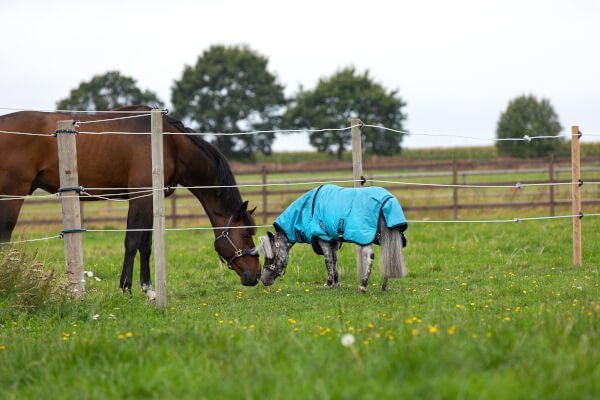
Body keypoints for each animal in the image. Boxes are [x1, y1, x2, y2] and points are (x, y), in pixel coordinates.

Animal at [0, 105, 262, 294]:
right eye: (245, 235)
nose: (257, 275)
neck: (168, 143)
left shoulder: (150, 200)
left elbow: (146, 245)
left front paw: (148, 289)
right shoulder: (139, 199)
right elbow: (132, 242)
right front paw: (126, 288)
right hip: (11, 196)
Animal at [258, 185, 408, 294]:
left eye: (270, 257)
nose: (264, 280)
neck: (308, 209)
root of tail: (388, 201)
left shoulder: (322, 239)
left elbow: (328, 260)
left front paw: (328, 283)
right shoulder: (334, 241)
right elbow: (335, 261)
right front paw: (336, 283)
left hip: (364, 238)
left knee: (370, 257)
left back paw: (363, 285)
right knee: (387, 257)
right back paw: (384, 286)